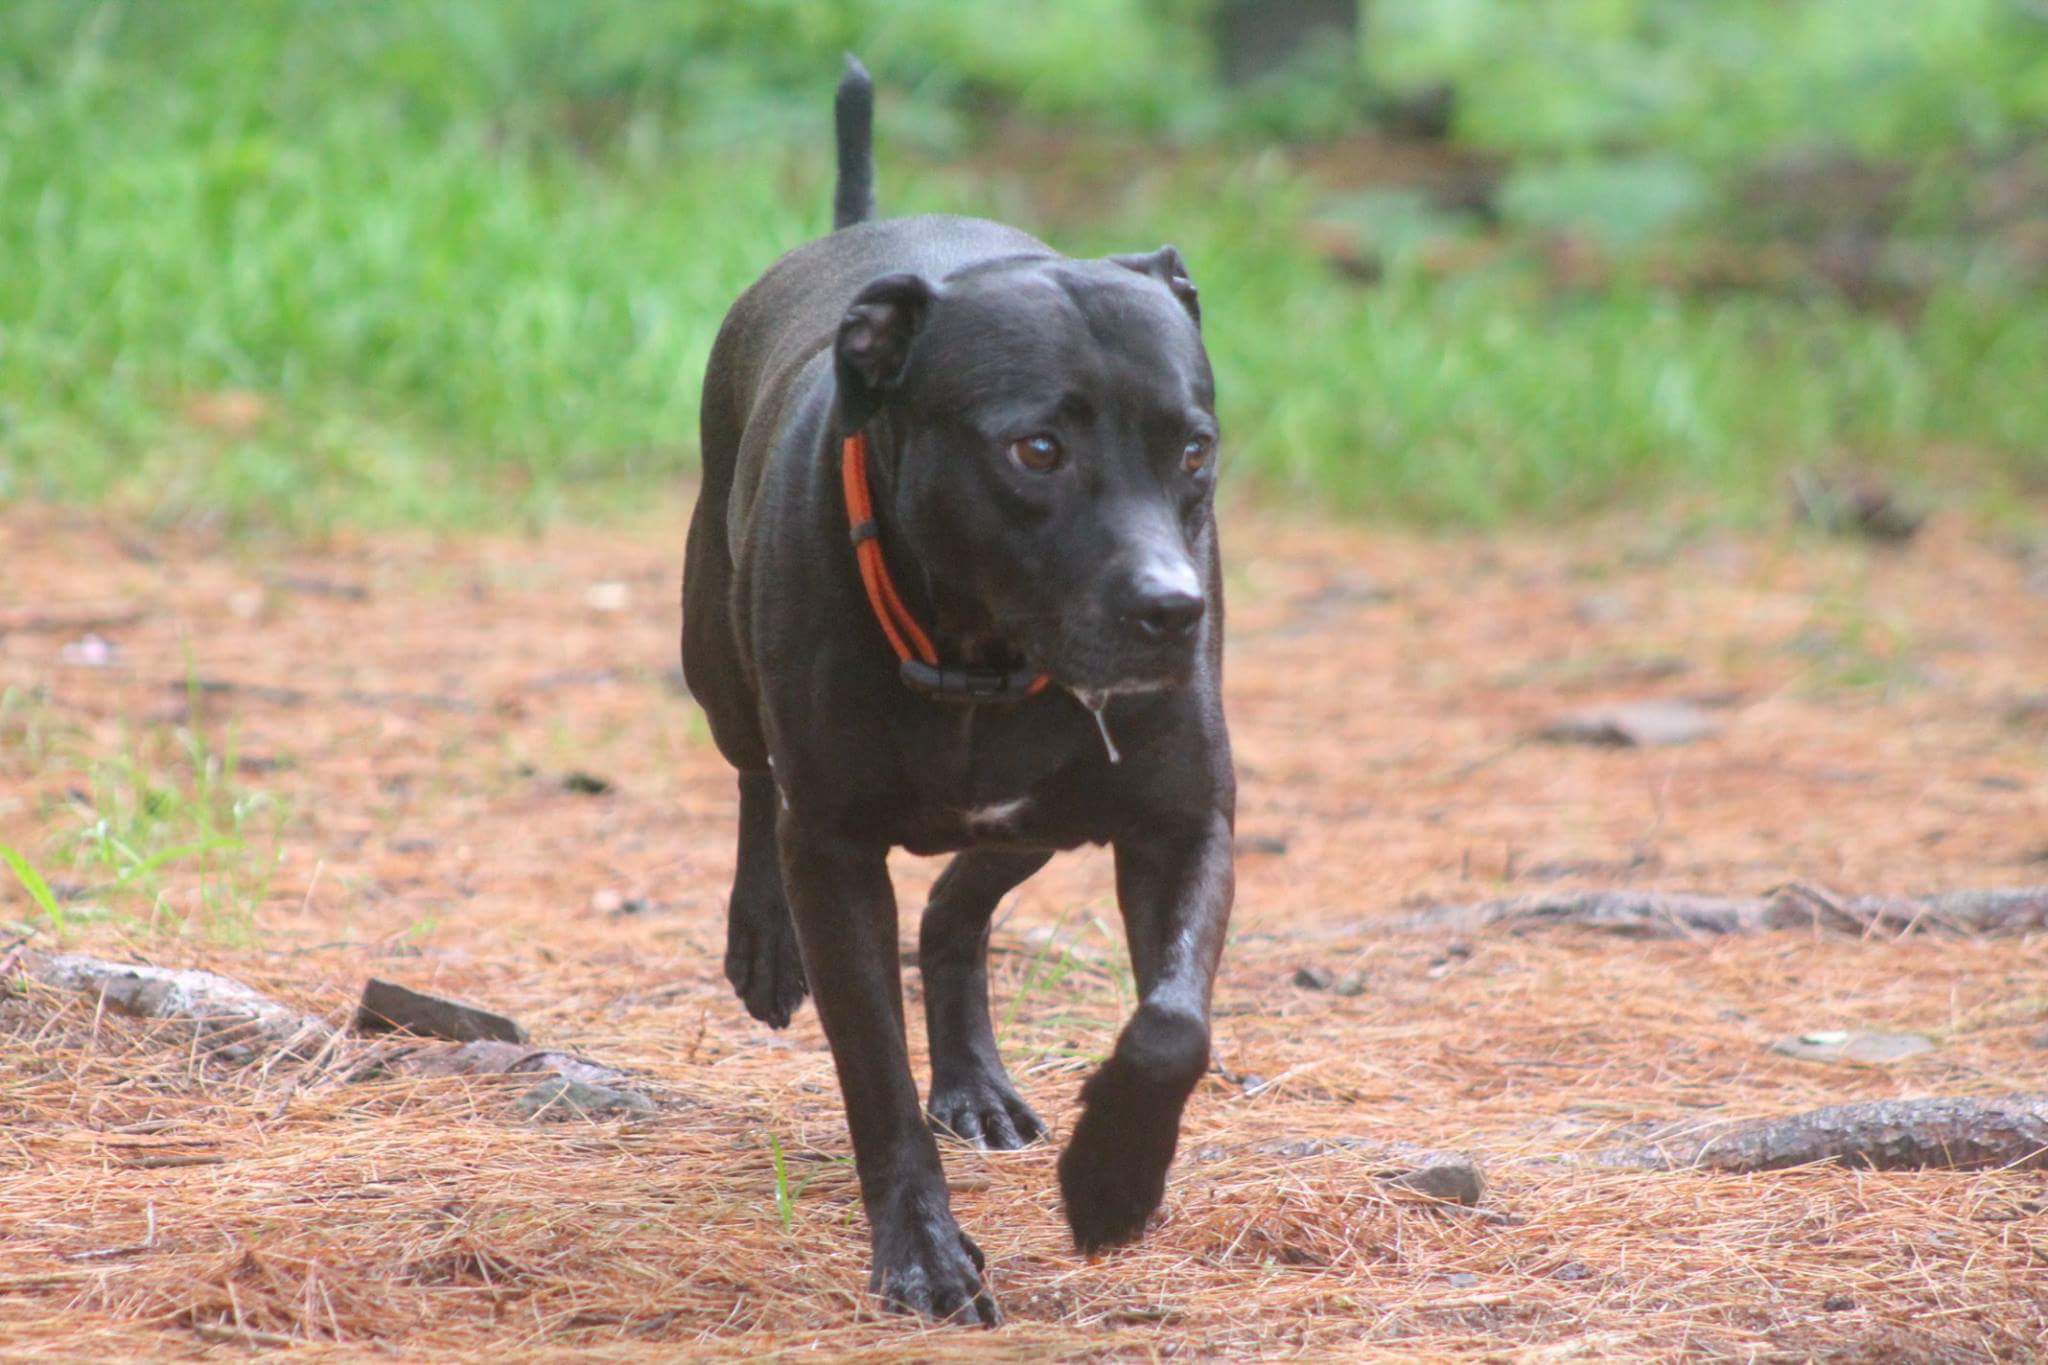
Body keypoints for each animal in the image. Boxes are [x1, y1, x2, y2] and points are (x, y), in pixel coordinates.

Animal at [684, 58, 1228, 1326]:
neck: (981, 659)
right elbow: (874, 1078)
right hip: (713, 661)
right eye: (1035, 450)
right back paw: (761, 942)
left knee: (955, 909)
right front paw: (924, 1254)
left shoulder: (1179, 821)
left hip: (1047, 818)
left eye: (1193, 450)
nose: (1171, 609)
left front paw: (1113, 1179)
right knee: (753, 780)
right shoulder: (835, 853)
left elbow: (1171, 1025)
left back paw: (976, 1078)